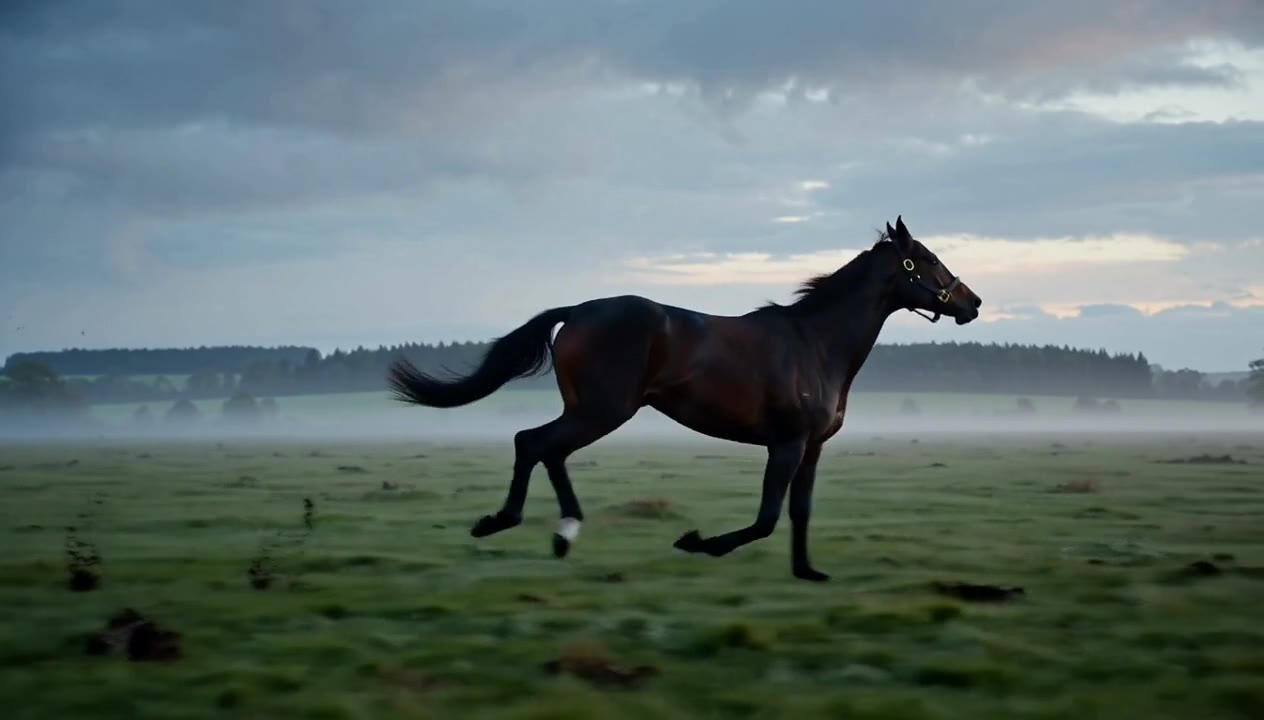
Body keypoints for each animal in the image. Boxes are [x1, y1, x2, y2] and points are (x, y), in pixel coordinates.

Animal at [387, 216, 982, 581]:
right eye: (926, 259)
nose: (973, 303)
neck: (815, 344)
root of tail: (576, 311)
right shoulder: (786, 444)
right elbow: (766, 518)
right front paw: (698, 542)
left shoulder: (811, 447)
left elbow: (800, 511)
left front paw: (807, 572)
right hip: (603, 410)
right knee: (531, 443)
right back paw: (505, 523)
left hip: (589, 411)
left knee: (548, 450)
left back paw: (564, 533)